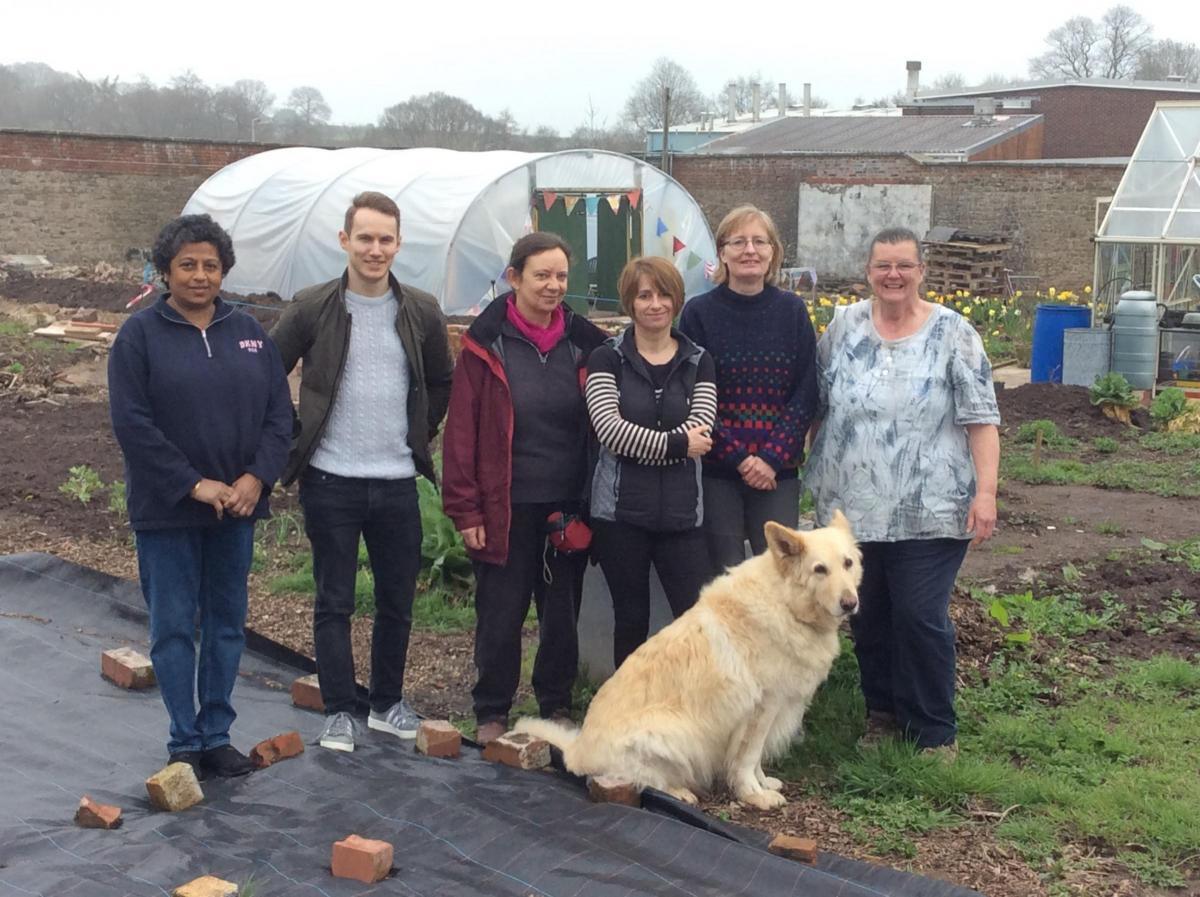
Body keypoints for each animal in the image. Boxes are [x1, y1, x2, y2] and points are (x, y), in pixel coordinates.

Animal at [516, 508, 864, 810]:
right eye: (820, 569)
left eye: (847, 563)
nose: (850, 604)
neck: (785, 603)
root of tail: (577, 751)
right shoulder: (761, 708)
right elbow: (748, 758)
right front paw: (754, 795)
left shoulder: (768, 712)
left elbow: (754, 758)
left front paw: (763, 784)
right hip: (671, 732)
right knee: (638, 780)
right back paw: (678, 792)